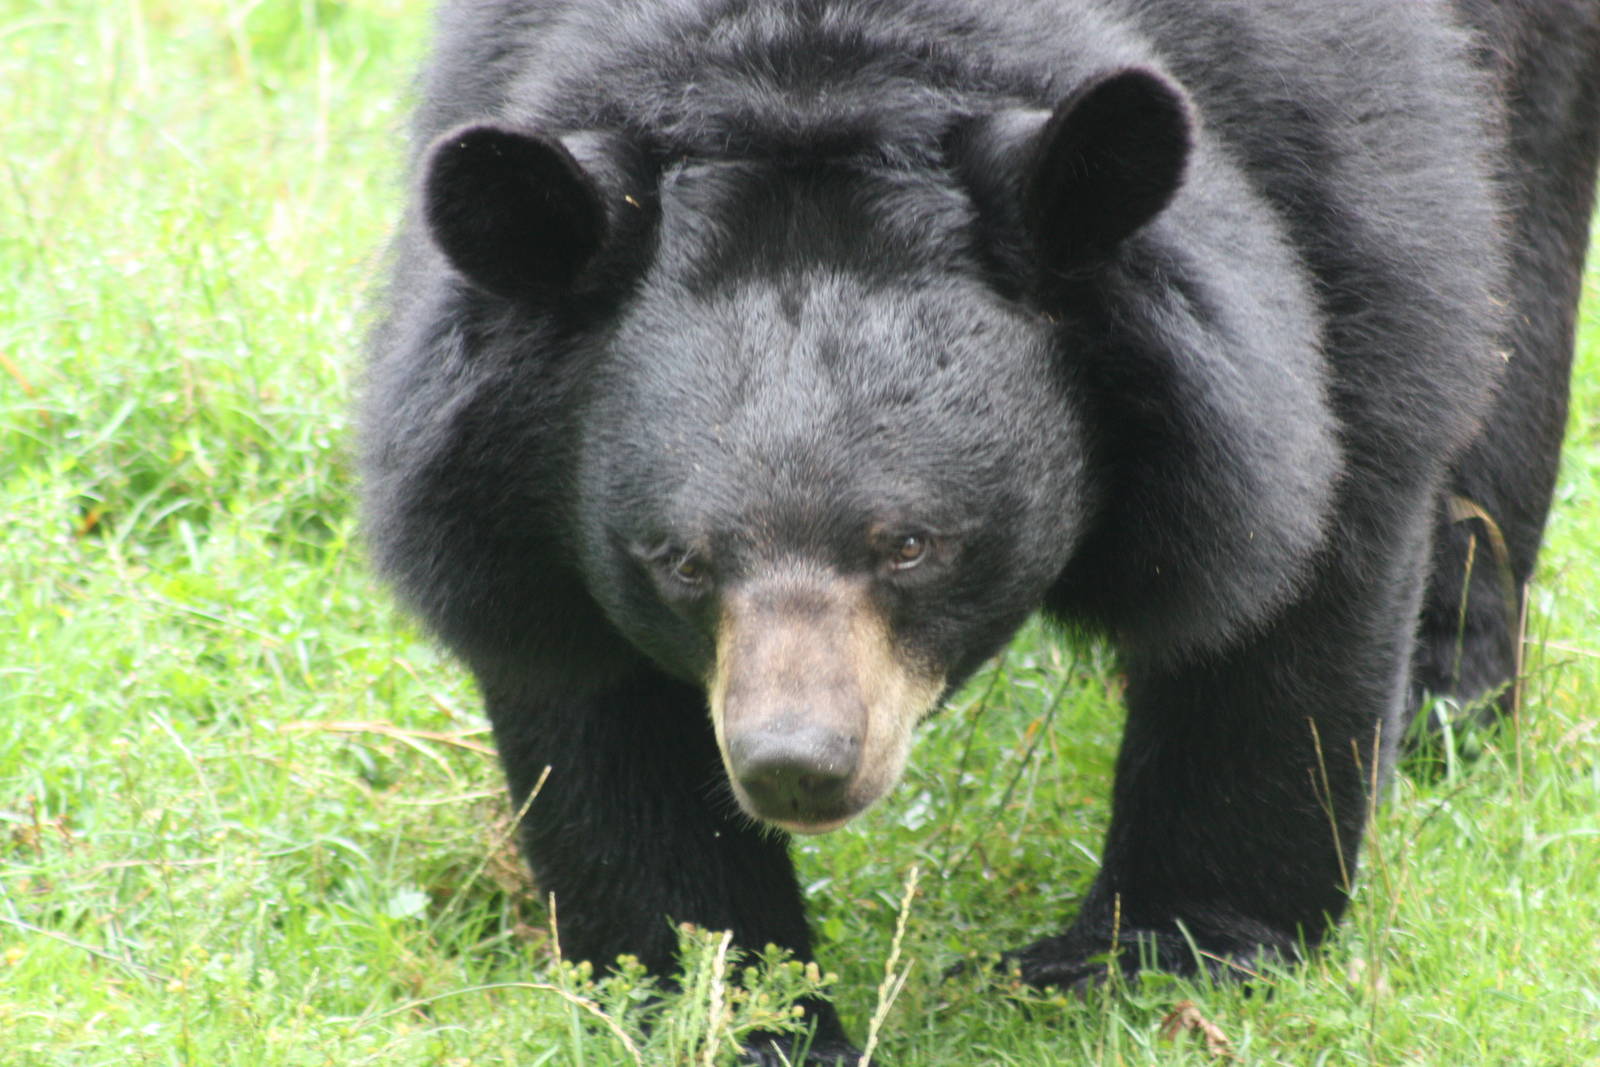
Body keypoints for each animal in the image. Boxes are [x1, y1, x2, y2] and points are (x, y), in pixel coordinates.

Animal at [360, 0, 1600, 1061]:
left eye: (911, 544)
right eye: (681, 561)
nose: (795, 764)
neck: (810, 71)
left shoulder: (1322, 158)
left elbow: (1304, 557)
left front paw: (1152, 960)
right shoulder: (507, 470)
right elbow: (589, 702)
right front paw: (733, 1012)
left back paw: (1447, 708)